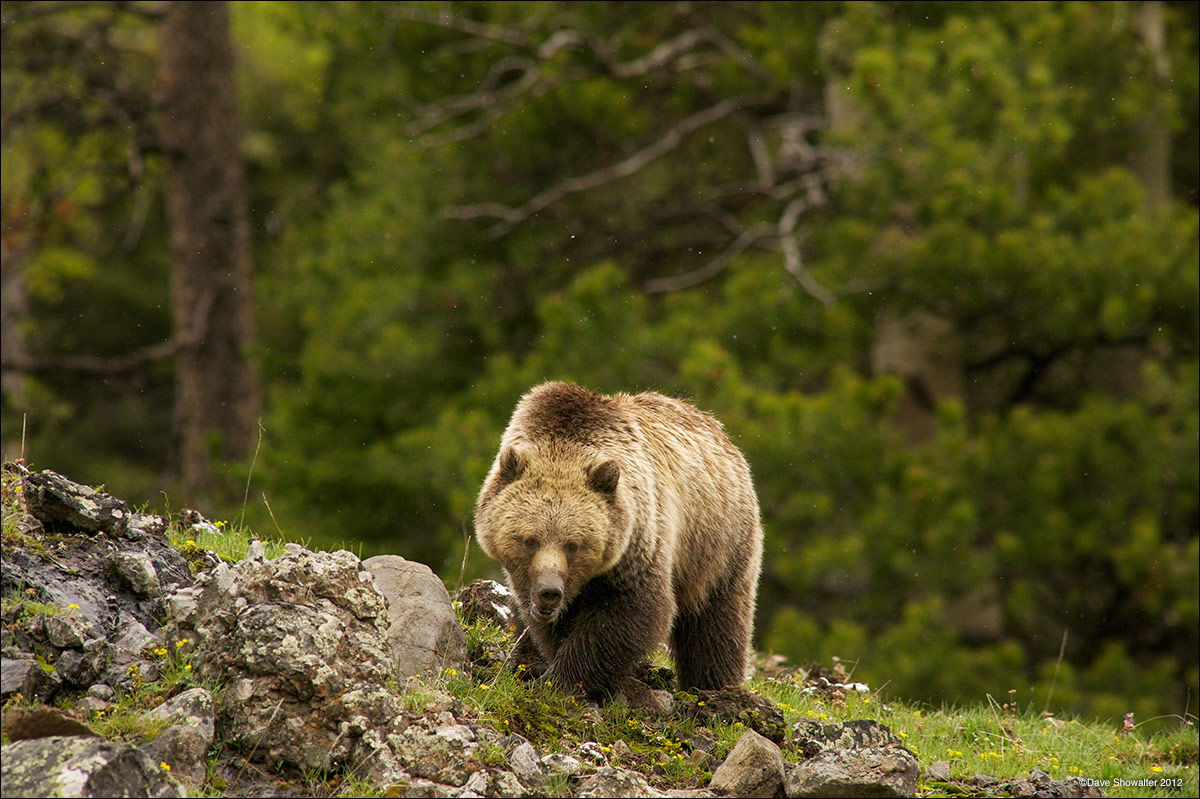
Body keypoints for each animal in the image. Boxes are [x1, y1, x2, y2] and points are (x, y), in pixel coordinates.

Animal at [475, 381, 763, 695]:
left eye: (573, 545)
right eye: (530, 540)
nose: (549, 591)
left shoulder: (637, 543)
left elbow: (629, 612)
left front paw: (563, 679)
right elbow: (540, 620)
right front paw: (544, 664)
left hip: (717, 543)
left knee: (716, 621)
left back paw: (713, 686)